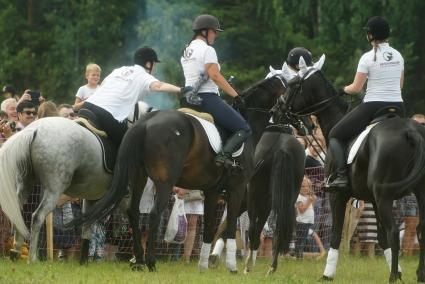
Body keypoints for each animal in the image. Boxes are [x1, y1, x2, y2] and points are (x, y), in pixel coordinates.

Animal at [66, 74, 284, 272]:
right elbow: (230, 226)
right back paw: (150, 262)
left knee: (134, 213)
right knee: (154, 215)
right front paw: (231, 267)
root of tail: (146, 121)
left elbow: (209, 227)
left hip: (139, 177)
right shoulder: (236, 188)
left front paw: (203, 265)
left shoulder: (212, 191)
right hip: (165, 182)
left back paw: (138, 261)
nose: (286, 126)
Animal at [274, 63, 424, 282]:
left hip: (385, 196)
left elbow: (336, 236)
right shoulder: (372, 200)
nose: (276, 110)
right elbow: (380, 238)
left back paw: (392, 278)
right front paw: (398, 271)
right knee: (420, 229)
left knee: (394, 232)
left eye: (293, 84)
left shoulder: (338, 196)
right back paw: (419, 275)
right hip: (414, 193)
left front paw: (327, 274)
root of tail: (410, 131)